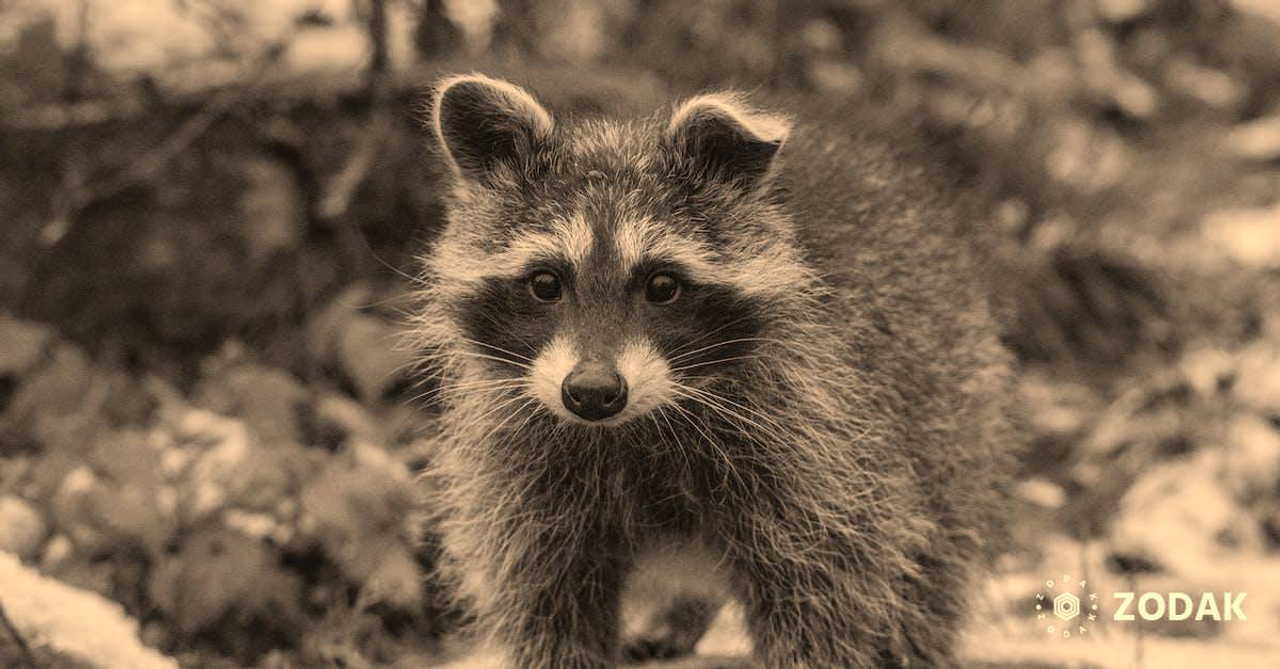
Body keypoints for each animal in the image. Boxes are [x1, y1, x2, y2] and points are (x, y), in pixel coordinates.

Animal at [414, 74, 1013, 669]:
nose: (593, 392)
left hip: (945, 403)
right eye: (545, 283)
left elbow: (827, 588)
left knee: (931, 561)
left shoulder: (816, 443)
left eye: (662, 285)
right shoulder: (524, 478)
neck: (635, 427)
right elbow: (547, 601)